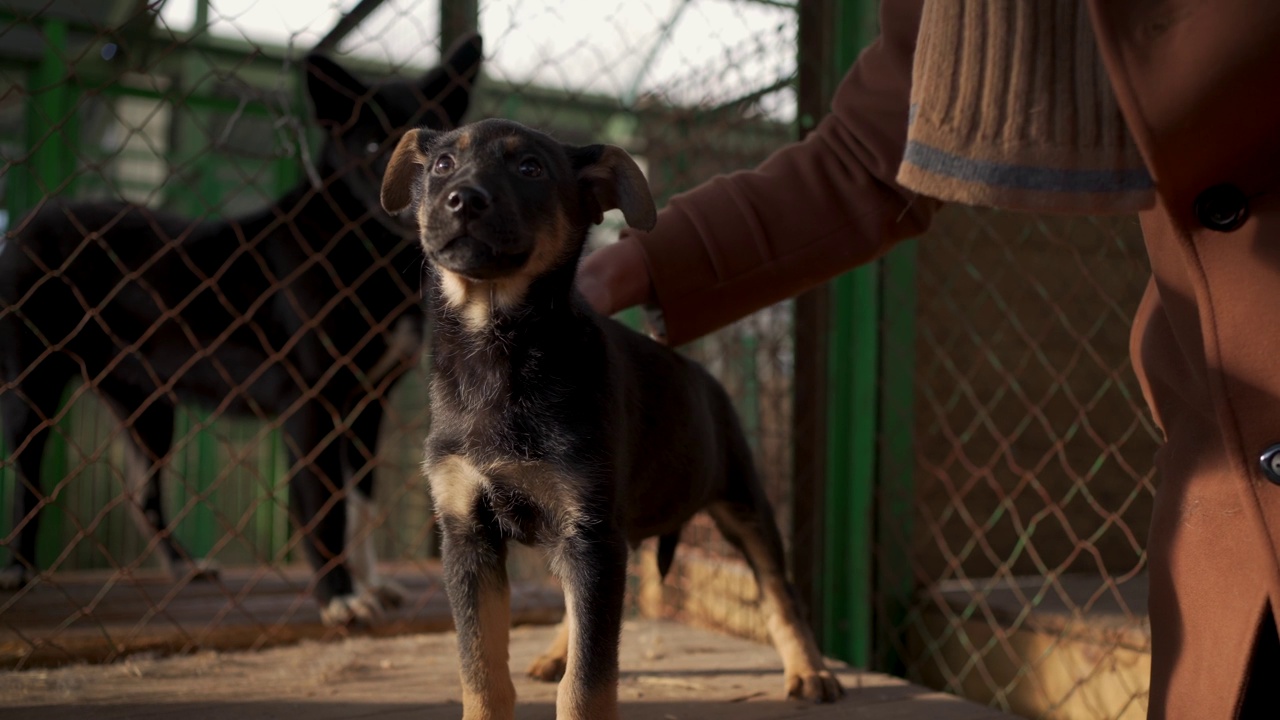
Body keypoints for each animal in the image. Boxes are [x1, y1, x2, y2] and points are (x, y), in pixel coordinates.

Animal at [1, 35, 481, 622]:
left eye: (445, 158)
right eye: (371, 147)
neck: (361, 253)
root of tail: (29, 219)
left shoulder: (368, 405)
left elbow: (359, 508)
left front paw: (368, 584)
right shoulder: (311, 404)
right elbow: (323, 507)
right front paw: (339, 596)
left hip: (149, 410)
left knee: (143, 495)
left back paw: (185, 567)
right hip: (34, 386)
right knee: (28, 480)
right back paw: (19, 569)